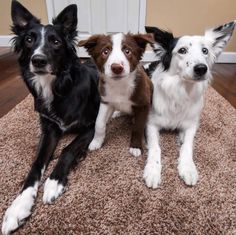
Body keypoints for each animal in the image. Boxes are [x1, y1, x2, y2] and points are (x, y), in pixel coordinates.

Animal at [2, 0, 99, 234]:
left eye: (55, 42)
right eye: (29, 40)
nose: (38, 60)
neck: (57, 87)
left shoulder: (92, 125)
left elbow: (67, 149)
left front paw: (54, 182)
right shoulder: (50, 129)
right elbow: (36, 163)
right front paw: (18, 206)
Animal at [143, 20, 235, 189]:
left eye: (205, 50)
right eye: (182, 50)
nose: (201, 68)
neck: (181, 89)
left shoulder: (192, 125)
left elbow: (188, 146)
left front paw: (188, 168)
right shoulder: (151, 124)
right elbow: (155, 147)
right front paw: (152, 170)